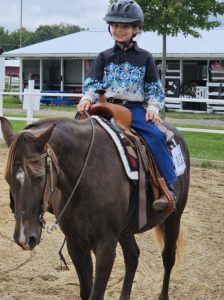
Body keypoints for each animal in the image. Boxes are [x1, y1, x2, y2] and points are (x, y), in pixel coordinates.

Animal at [0, 116, 189, 300]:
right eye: (7, 178)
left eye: (38, 177)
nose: (24, 238)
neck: (87, 176)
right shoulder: (75, 244)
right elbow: (86, 291)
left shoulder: (106, 246)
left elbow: (96, 293)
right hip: (125, 231)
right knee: (132, 257)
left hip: (173, 218)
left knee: (168, 257)